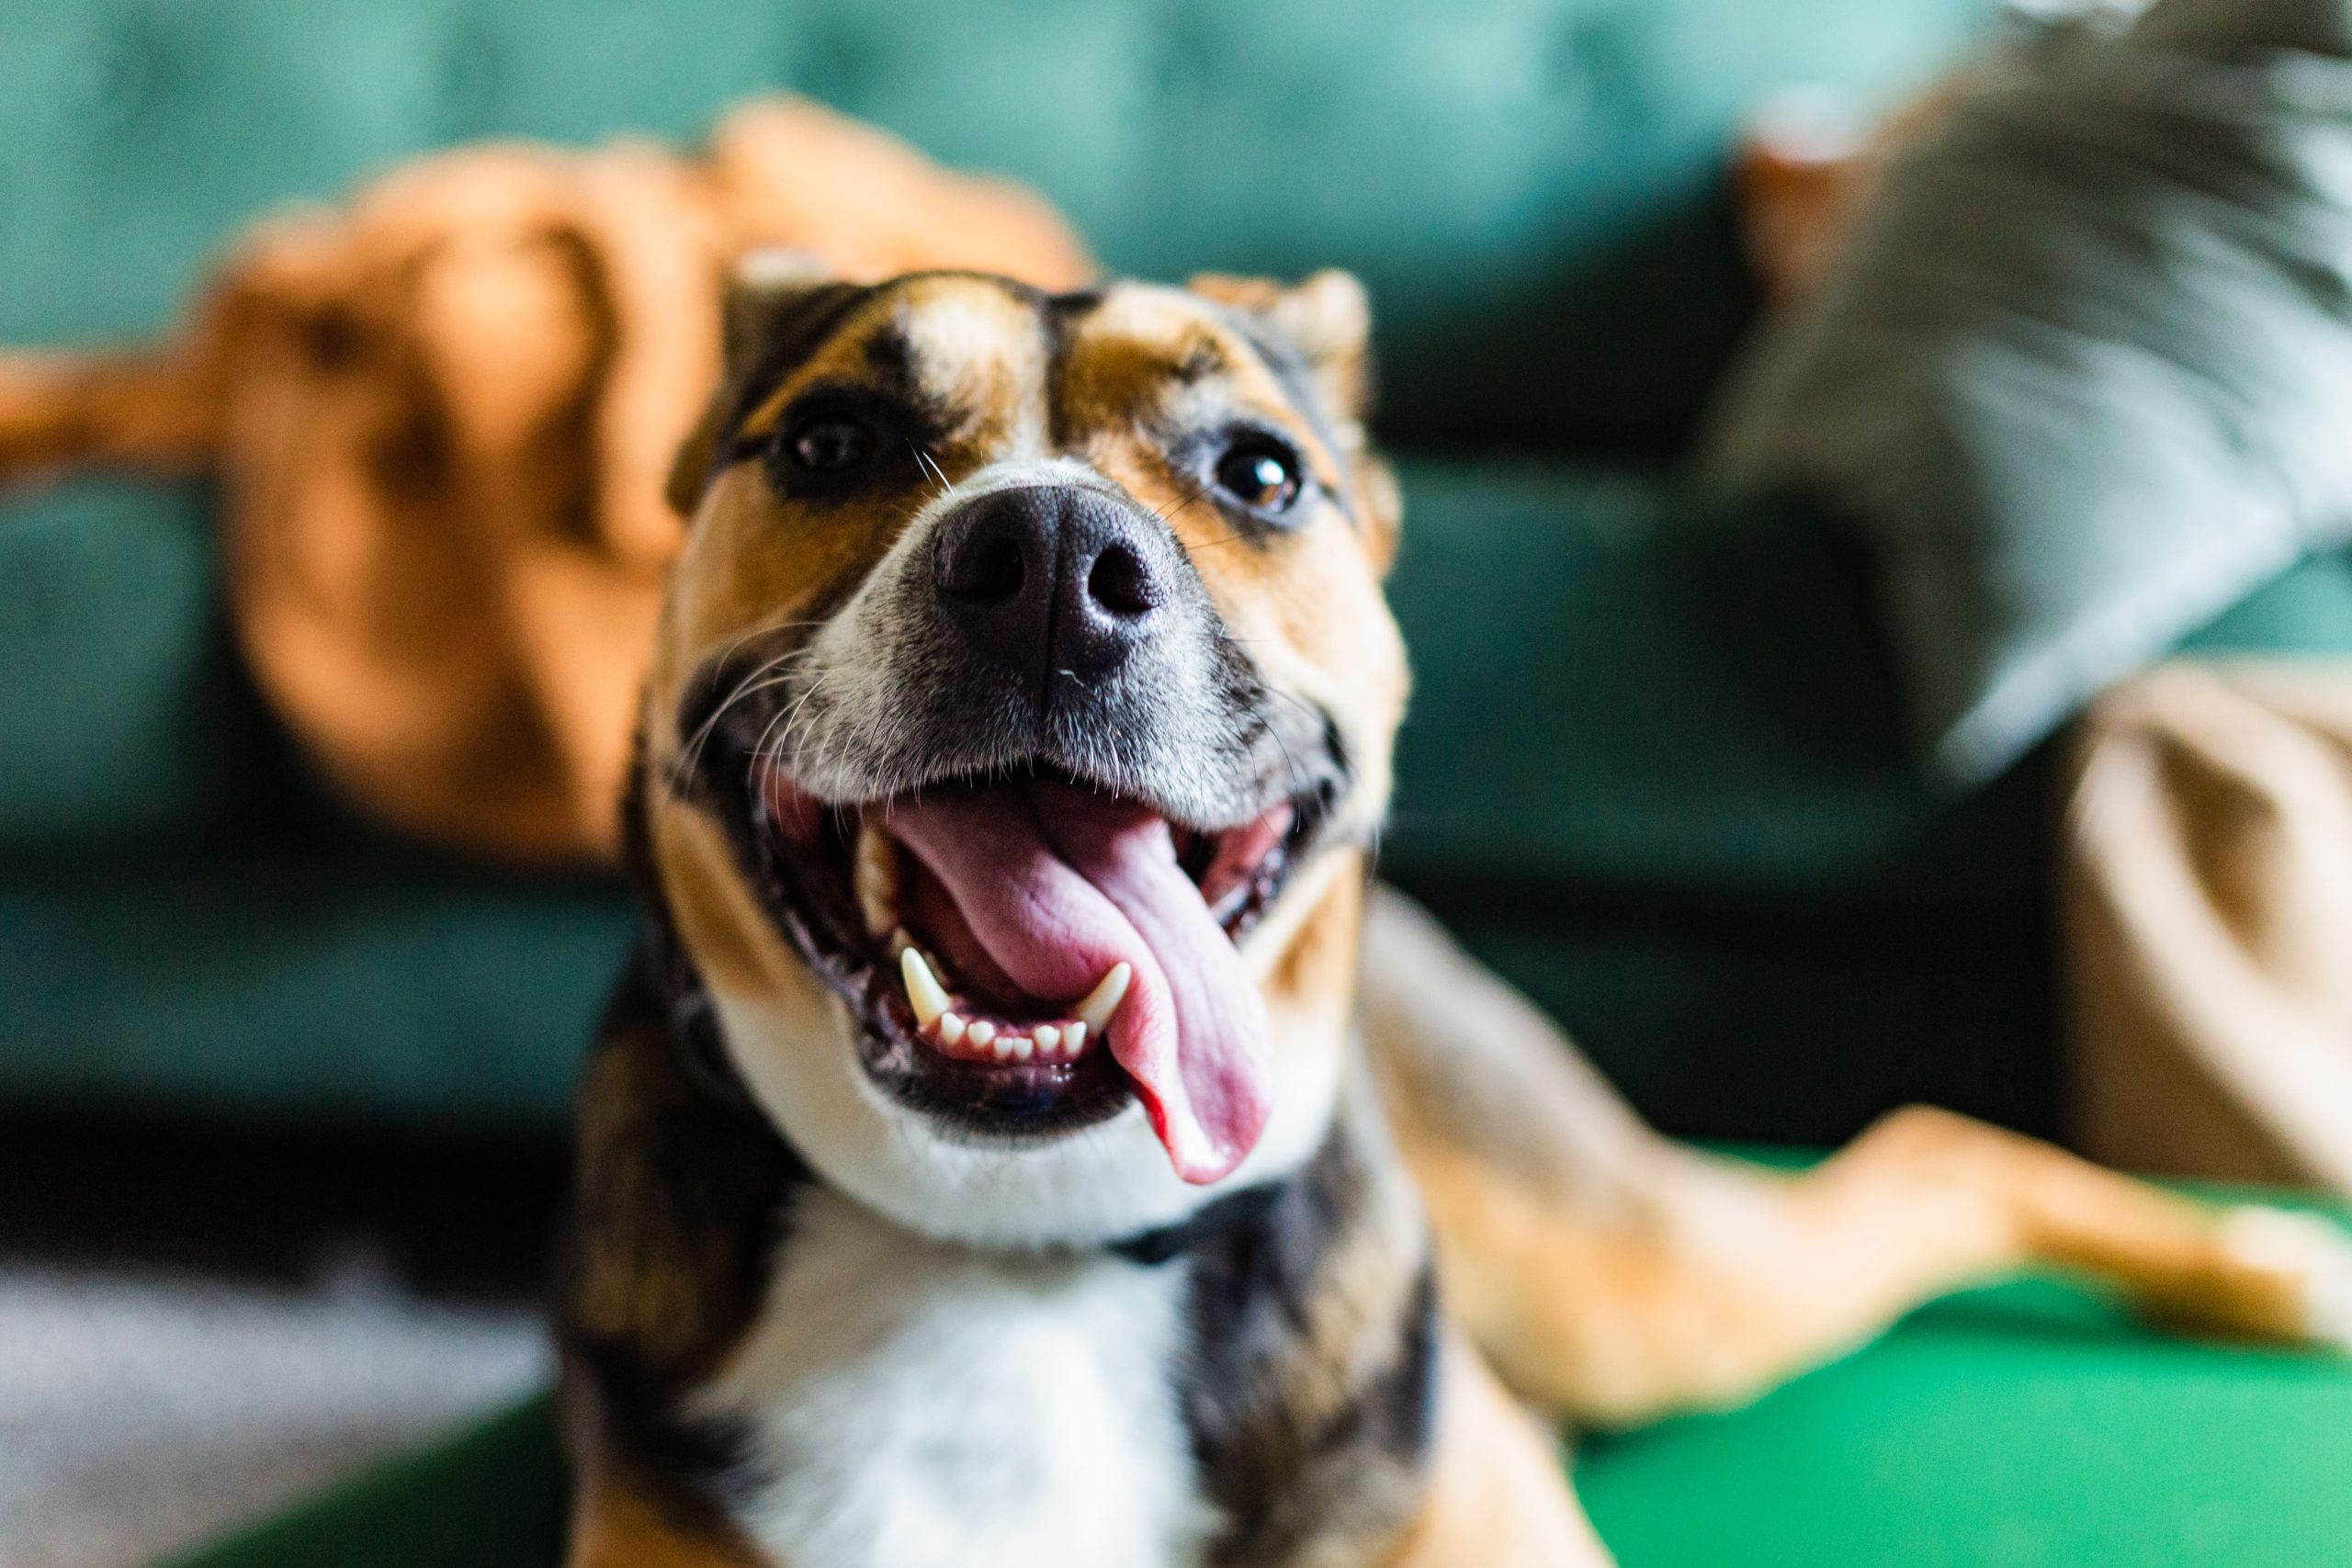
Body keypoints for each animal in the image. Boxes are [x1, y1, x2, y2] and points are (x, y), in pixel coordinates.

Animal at [555, 257, 2352, 1568]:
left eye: (1261, 472)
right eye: (829, 442)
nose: (1054, 555)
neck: (1018, 1249)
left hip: (1629, 1278)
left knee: (1934, 1151)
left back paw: (2263, 1267)